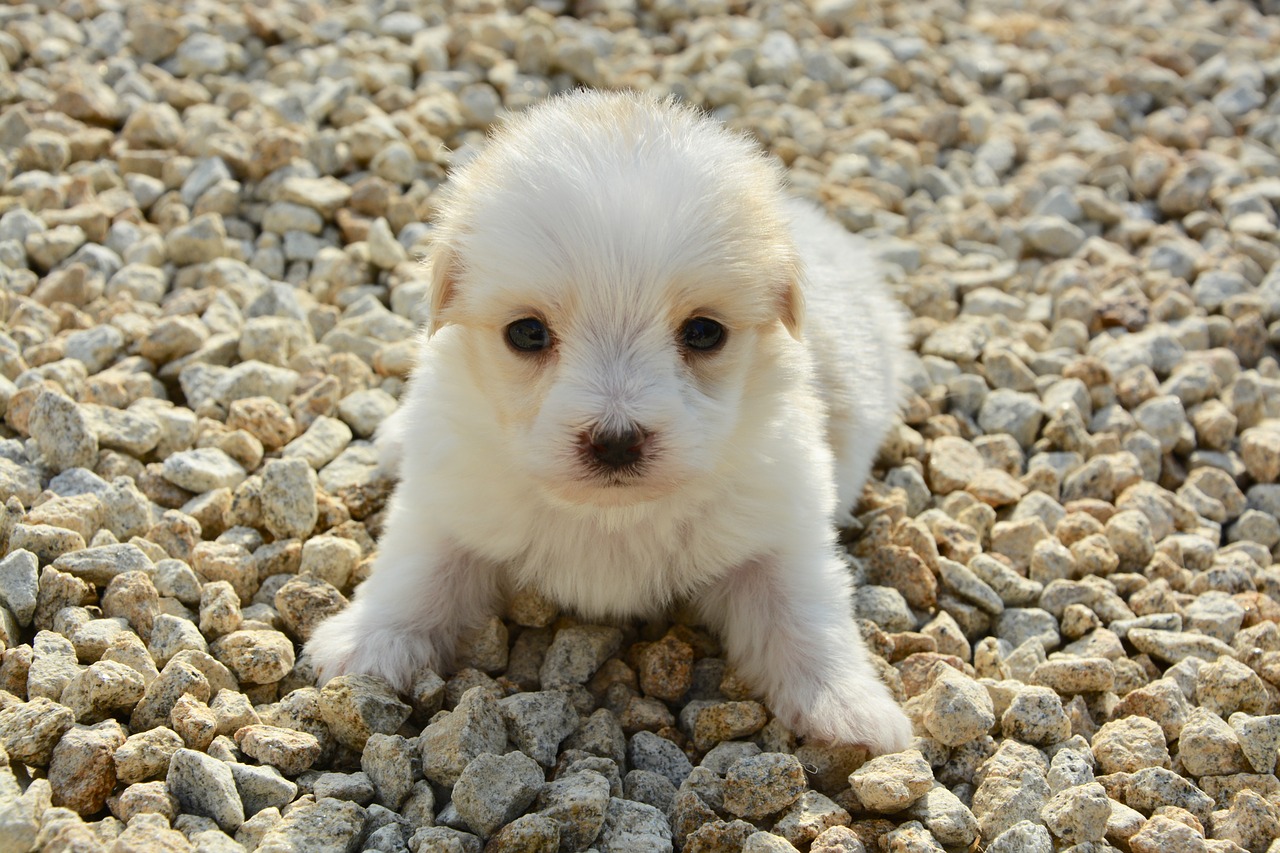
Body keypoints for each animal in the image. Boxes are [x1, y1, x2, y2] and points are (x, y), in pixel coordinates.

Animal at [307, 87, 911, 753]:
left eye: (705, 332)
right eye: (526, 333)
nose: (616, 443)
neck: (609, 517)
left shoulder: (779, 521)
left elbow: (804, 609)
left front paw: (849, 710)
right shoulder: (452, 498)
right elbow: (416, 569)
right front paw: (370, 644)